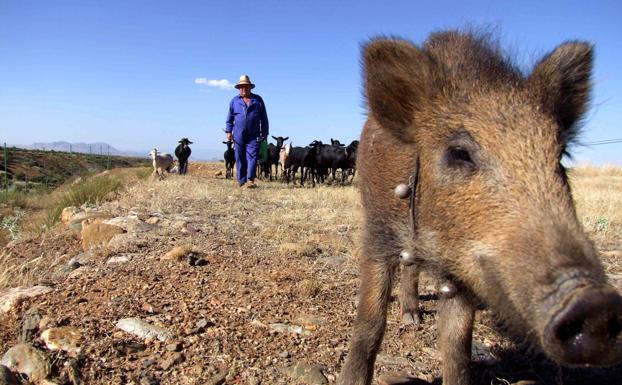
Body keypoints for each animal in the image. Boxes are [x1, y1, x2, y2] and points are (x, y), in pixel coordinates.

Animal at [342, 30, 622, 384]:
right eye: (459, 153)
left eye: (560, 156)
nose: (596, 303)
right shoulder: (377, 235)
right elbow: (370, 321)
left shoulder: (462, 274)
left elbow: (457, 346)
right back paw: (410, 319)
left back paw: (413, 318)